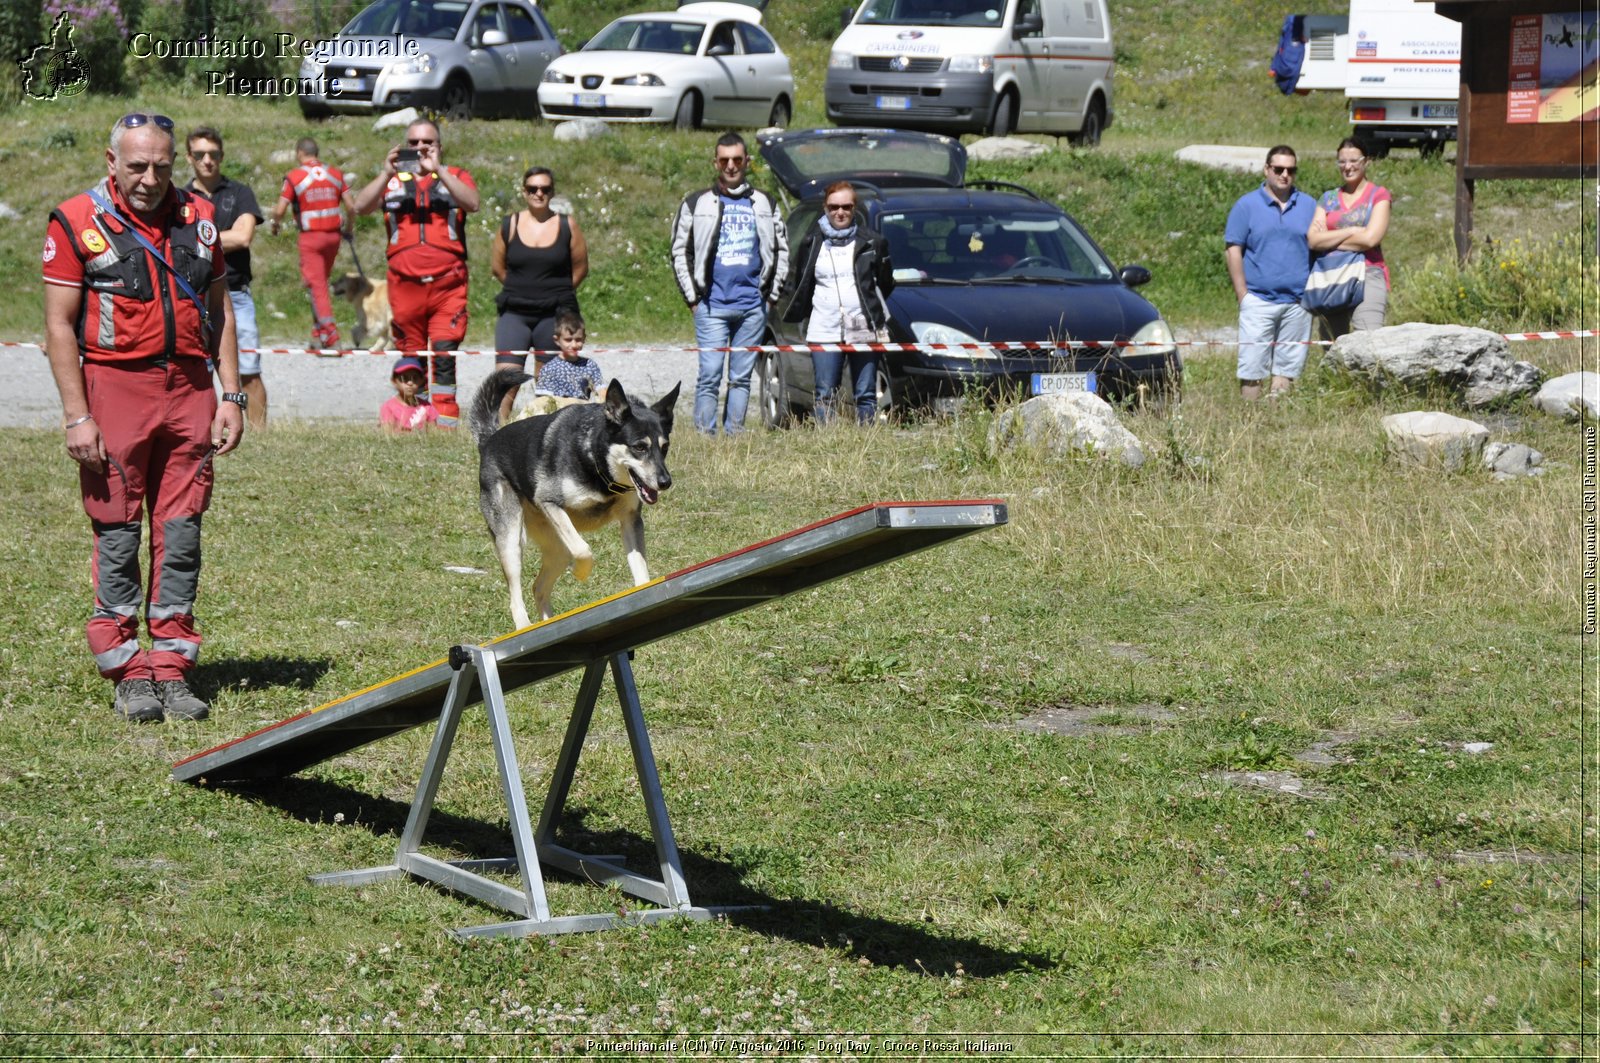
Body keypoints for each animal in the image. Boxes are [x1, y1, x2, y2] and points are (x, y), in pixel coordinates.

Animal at [467, 371, 681, 627]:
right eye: (639, 447)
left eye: (665, 447)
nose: (665, 482)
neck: (596, 461)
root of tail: (489, 439)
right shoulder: (548, 501)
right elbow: (583, 549)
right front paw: (581, 572)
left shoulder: (631, 520)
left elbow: (639, 567)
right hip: (511, 540)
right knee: (516, 596)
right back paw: (525, 626)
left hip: (556, 549)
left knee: (538, 587)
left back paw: (548, 622)